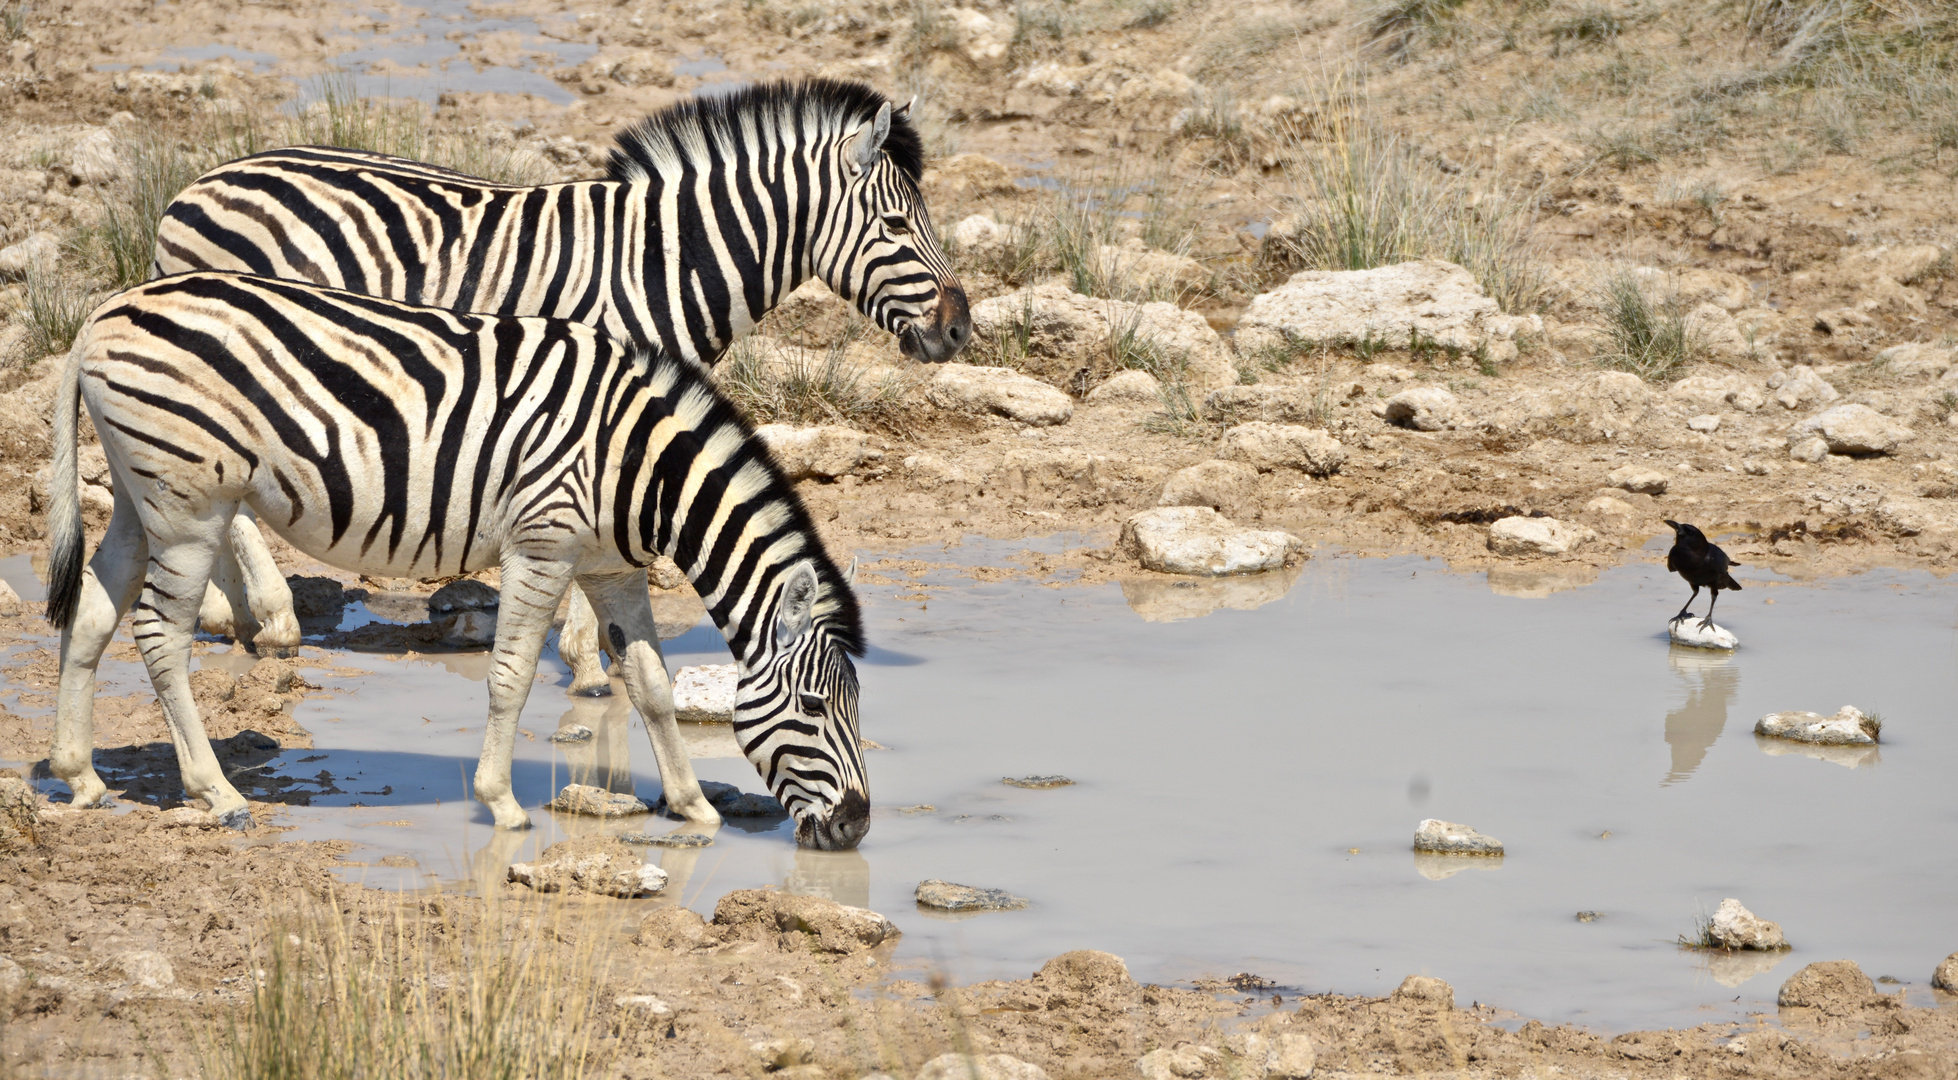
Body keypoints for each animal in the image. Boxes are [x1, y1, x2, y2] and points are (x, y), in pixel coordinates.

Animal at [46, 271, 869, 853]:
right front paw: (501, 802)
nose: (856, 828)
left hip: (140, 499)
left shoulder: (612, 566)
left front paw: (693, 803)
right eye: (815, 708)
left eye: (856, 707)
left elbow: (653, 686)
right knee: (159, 636)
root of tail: (100, 317)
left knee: (92, 610)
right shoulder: (542, 544)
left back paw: (80, 776)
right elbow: (512, 677)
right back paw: (214, 791)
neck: (642, 465)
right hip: (190, 508)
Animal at [156, 78, 967, 684]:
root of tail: (194, 186)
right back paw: (272, 618)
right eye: (898, 226)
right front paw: (588, 662)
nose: (960, 329)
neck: (661, 261)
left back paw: (226, 613)